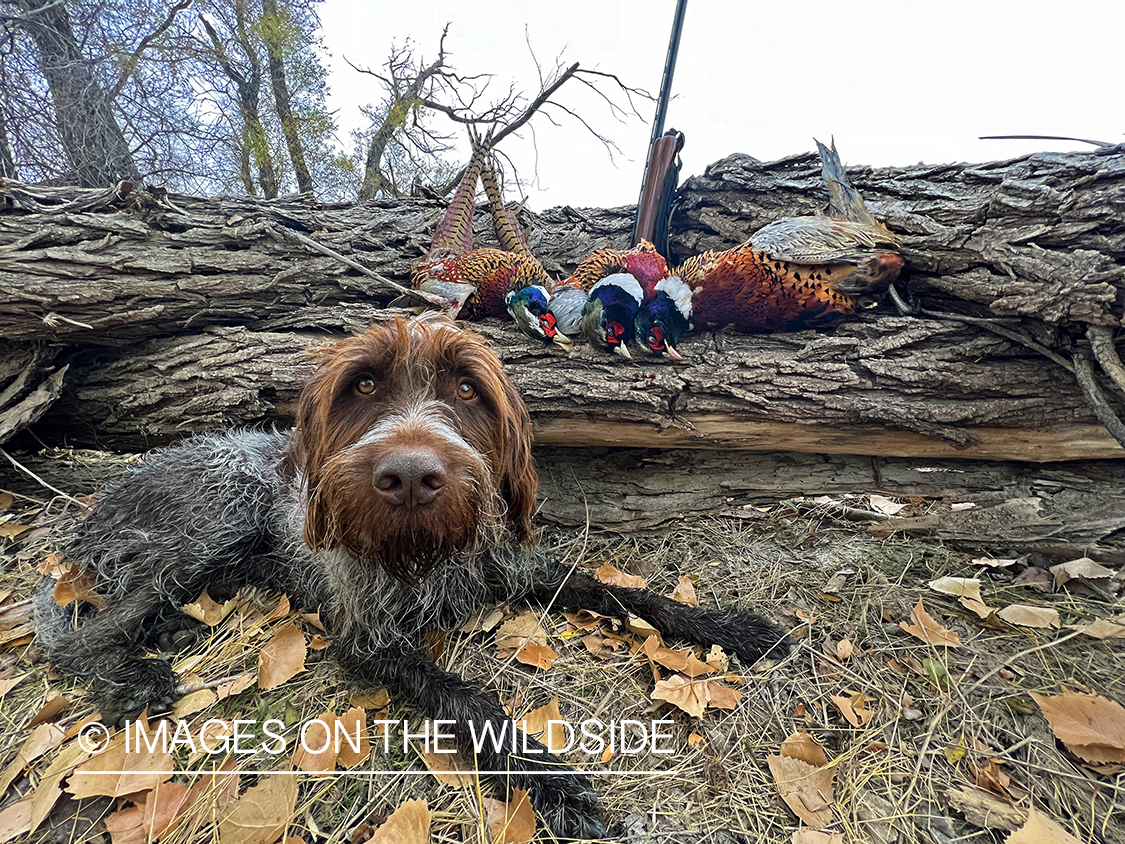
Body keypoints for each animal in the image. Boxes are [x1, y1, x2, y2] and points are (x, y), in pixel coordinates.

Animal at [37, 315, 792, 841]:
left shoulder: (517, 569)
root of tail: (105, 499)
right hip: (215, 514)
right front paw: (547, 780)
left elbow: (623, 591)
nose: (406, 475)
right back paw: (134, 676)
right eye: (363, 385)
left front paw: (730, 627)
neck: (427, 549)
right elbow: (469, 700)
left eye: (467, 388)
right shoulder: (366, 639)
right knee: (79, 634)